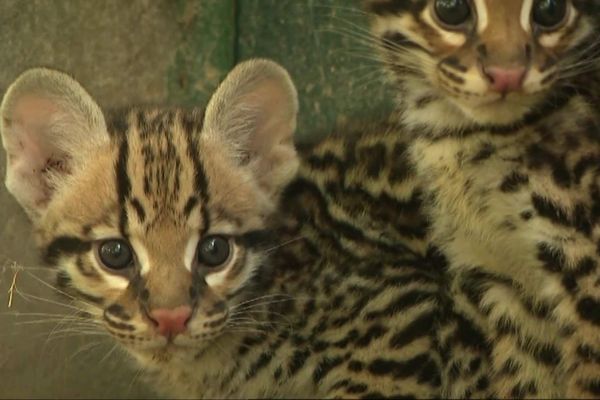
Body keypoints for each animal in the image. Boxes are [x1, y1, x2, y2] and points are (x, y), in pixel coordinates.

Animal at [364, 0, 600, 398]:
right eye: (451, 9)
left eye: (550, 9)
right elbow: (526, 380)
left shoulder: (587, 271)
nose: (507, 75)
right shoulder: (506, 282)